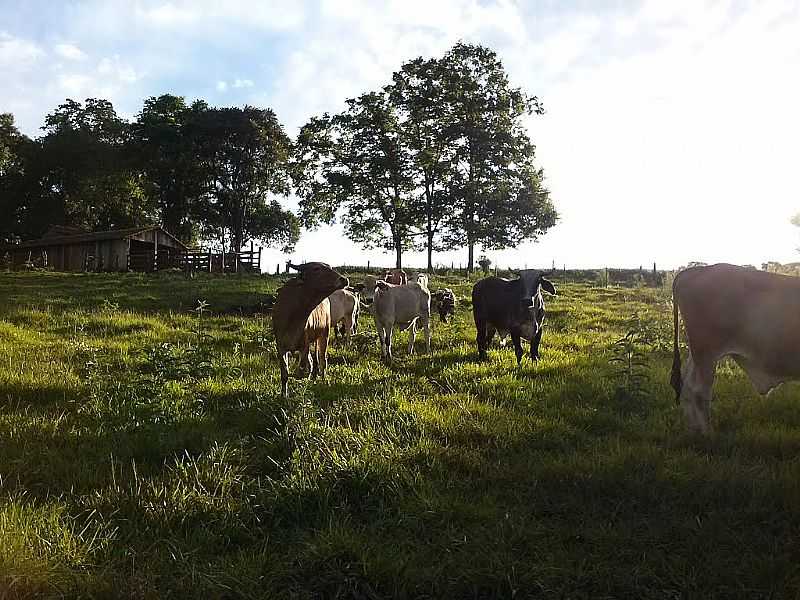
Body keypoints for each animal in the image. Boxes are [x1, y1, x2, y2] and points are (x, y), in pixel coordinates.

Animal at [272, 262, 346, 398]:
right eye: (316, 269)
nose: (343, 279)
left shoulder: (304, 344)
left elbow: (303, 368)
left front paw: (302, 375)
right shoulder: (280, 346)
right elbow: (284, 372)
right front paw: (284, 394)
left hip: (324, 334)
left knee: (322, 360)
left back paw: (322, 381)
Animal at [672, 264, 800, 434]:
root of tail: (697, 270)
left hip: (697, 353)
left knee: (686, 387)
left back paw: (694, 430)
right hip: (707, 353)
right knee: (698, 391)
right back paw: (707, 434)